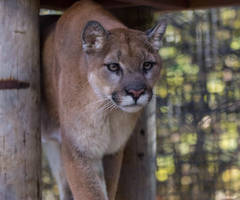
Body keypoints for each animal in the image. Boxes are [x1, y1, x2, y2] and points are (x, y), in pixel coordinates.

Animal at [41, 0, 166, 200]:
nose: (136, 92)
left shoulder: (112, 151)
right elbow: (91, 193)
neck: (107, 112)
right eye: (113, 66)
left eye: (147, 65)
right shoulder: (78, 149)